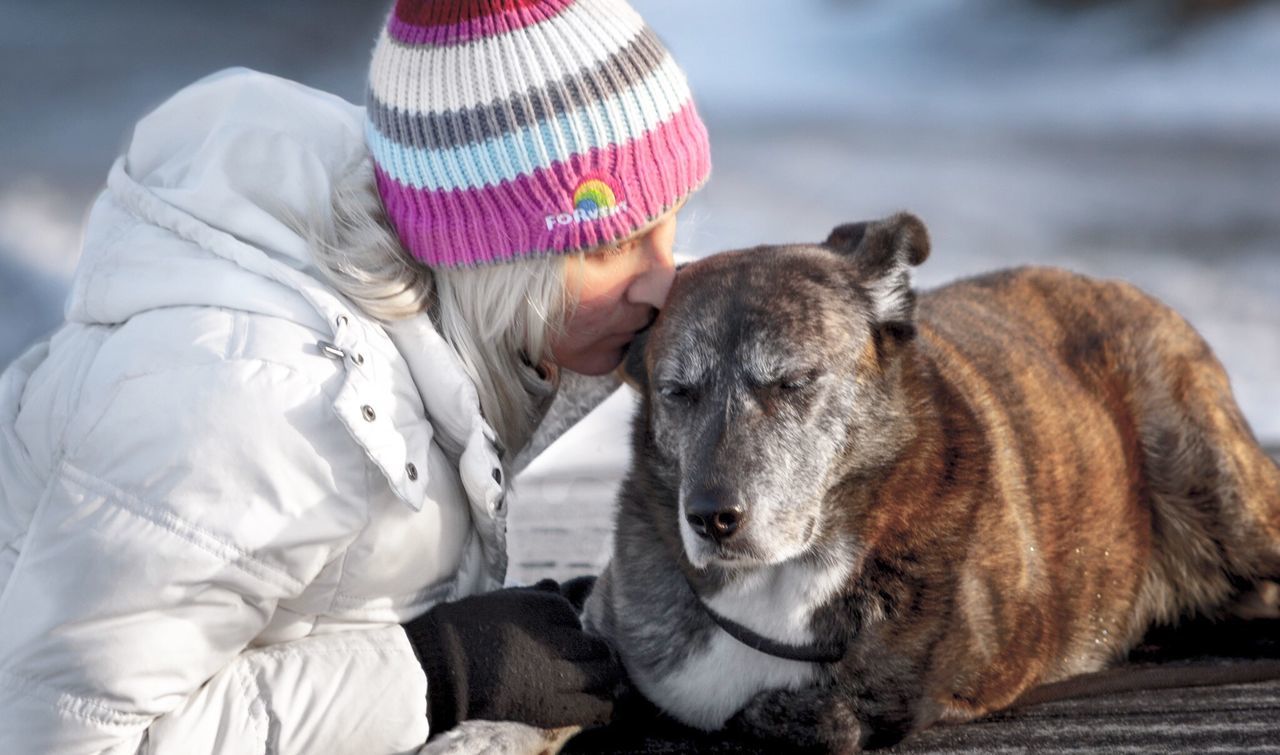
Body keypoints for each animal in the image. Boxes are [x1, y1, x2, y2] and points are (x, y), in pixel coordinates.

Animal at [583, 211, 1280, 752]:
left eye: (792, 382)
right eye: (678, 392)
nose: (710, 517)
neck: (777, 583)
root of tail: (1128, 289)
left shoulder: (951, 675)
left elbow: (836, 714)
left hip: (1221, 493)